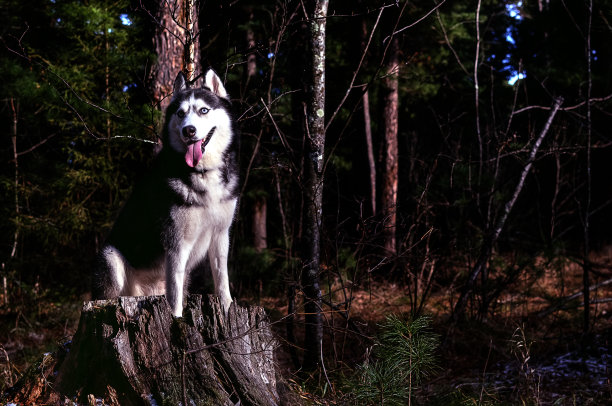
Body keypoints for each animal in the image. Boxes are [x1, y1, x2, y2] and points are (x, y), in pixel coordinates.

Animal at [94, 70, 239, 318]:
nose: (188, 130)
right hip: (111, 258)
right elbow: (175, 295)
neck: (202, 173)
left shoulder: (221, 235)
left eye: (203, 110)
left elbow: (222, 279)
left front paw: (228, 307)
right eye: (181, 113)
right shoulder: (176, 244)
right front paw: (177, 319)